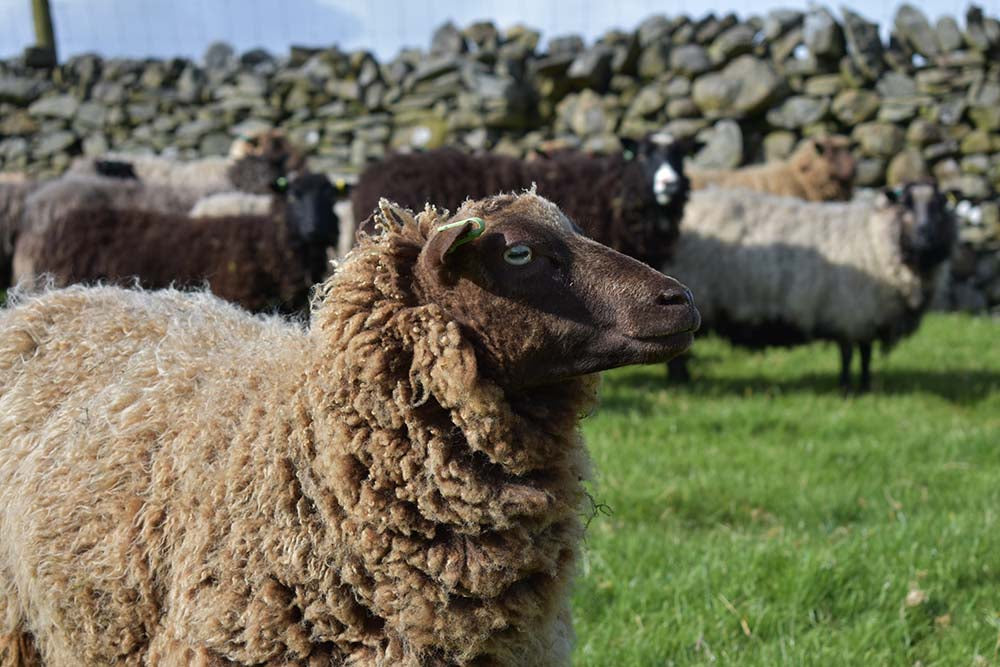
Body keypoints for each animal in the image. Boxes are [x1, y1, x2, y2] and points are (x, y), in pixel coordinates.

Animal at [660, 183, 956, 392]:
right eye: (906, 205)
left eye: (940, 207)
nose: (926, 236)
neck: (874, 239)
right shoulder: (849, 313)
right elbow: (849, 354)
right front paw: (847, 389)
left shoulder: (866, 317)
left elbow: (866, 354)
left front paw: (866, 386)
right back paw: (681, 381)